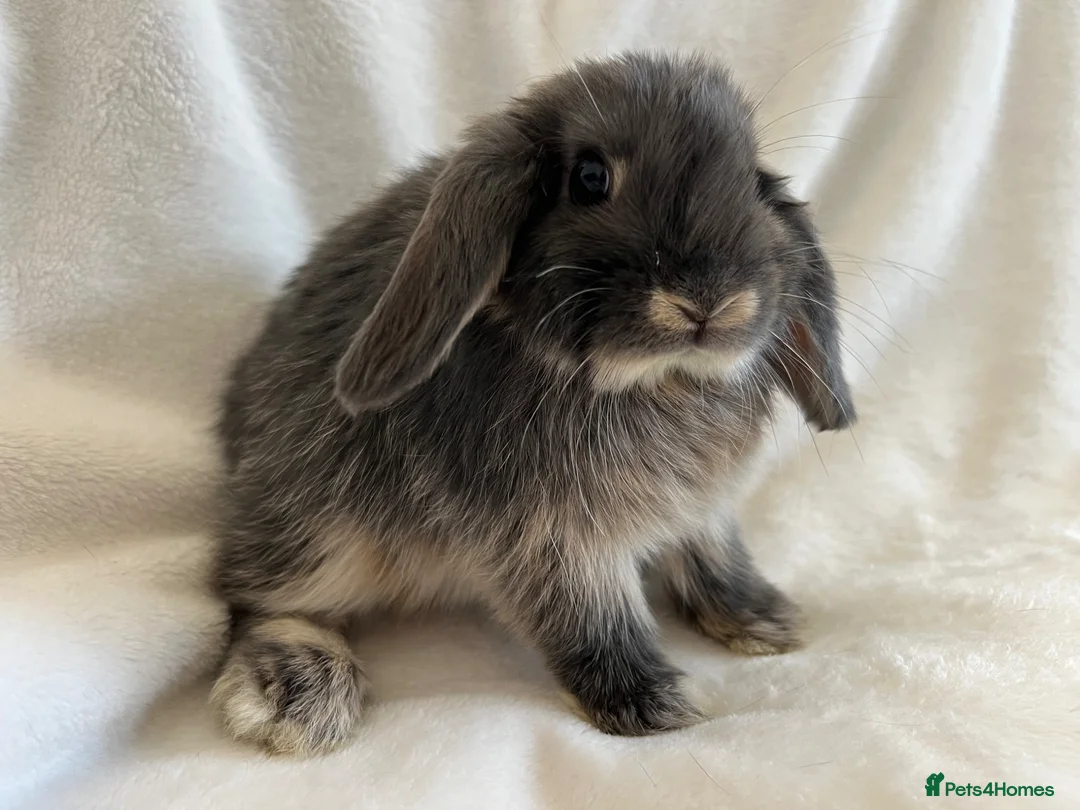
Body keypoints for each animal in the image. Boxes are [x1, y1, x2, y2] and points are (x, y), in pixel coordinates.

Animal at [209, 50, 855, 756]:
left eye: (751, 178)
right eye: (590, 178)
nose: (710, 301)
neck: (653, 381)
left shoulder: (700, 508)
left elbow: (715, 555)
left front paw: (763, 620)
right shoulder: (549, 539)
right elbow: (593, 618)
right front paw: (653, 705)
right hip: (319, 528)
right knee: (247, 597)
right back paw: (297, 690)